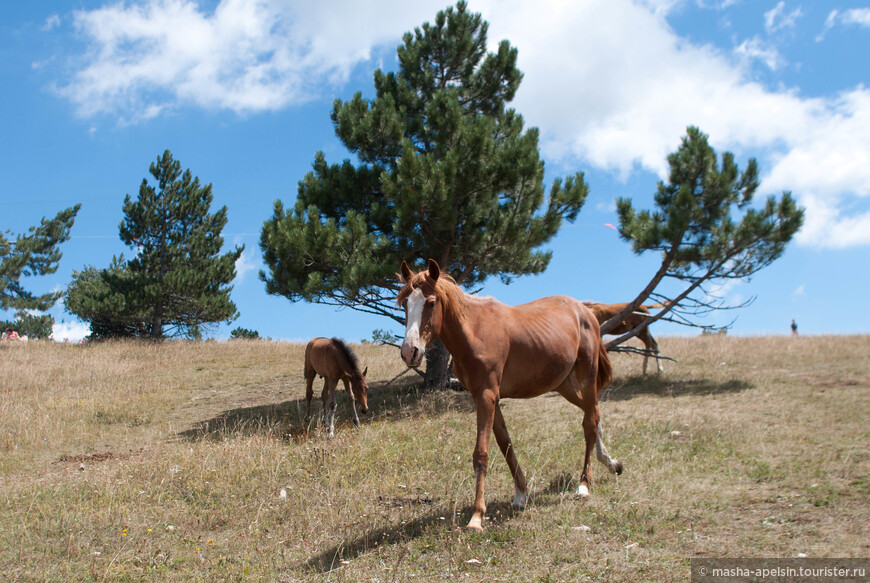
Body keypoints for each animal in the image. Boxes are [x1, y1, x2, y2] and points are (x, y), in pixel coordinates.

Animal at [398, 258, 624, 528]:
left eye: (431, 303)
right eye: (404, 304)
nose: (410, 352)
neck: (474, 330)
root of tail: (585, 311)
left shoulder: (487, 395)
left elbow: (481, 454)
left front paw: (477, 516)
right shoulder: (485, 396)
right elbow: (505, 444)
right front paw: (521, 494)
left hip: (586, 376)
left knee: (589, 423)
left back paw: (584, 485)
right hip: (564, 384)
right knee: (594, 414)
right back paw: (611, 463)